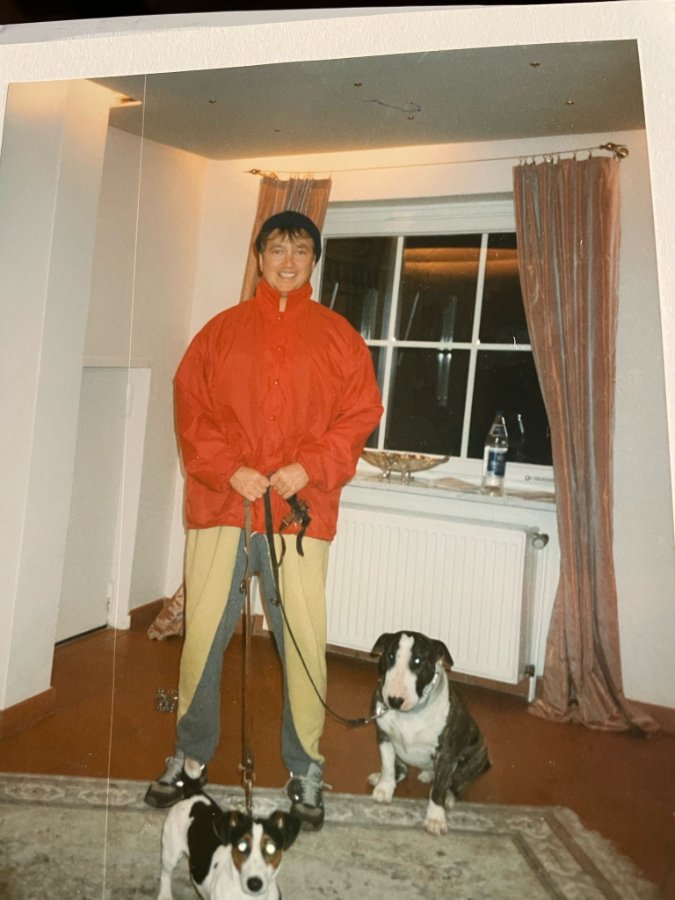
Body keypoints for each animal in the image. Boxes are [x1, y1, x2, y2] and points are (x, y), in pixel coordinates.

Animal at [157, 788, 301, 900]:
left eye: (271, 848)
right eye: (242, 846)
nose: (254, 884)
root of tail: (193, 793)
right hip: (170, 851)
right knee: (165, 873)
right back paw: (165, 895)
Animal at [368, 630, 490, 836]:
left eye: (418, 660)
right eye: (390, 656)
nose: (394, 701)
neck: (410, 714)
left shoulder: (446, 751)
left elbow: (439, 788)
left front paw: (435, 819)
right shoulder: (384, 736)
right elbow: (387, 765)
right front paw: (384, 788)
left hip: (475, 753)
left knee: (456, 781)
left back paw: (447, 796)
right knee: (402, 769)